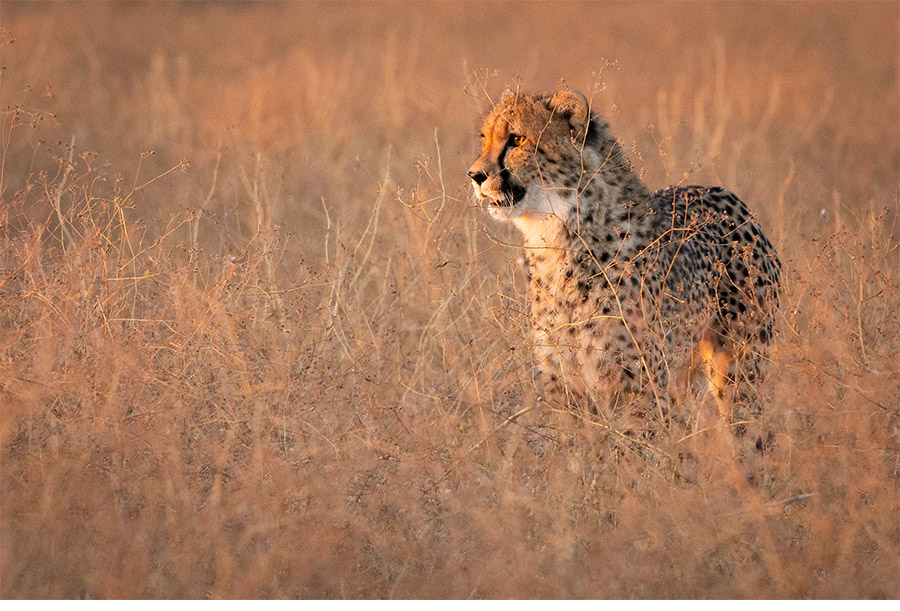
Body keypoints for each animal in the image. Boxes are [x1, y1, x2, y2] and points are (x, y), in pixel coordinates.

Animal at [468, 89, 781, 433]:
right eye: (485, 138)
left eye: (517, 139)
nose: (475, 175)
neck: (556, 236)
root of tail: (726, 194)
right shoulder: (563, 384)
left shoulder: (637, 387)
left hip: (741, 366)